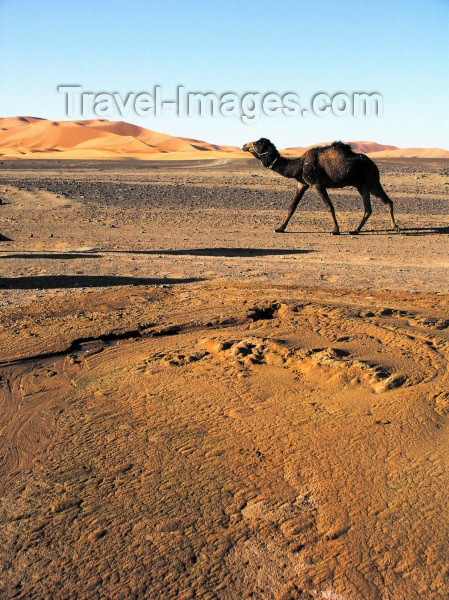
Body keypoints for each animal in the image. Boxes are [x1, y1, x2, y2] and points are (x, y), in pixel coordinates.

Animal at [242, 138, 400, 234]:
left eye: (256, 143)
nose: (244, 145)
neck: (299, 165)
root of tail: (373, 165)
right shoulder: (302, 183)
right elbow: (292, 207)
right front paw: (280, 228)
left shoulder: (318, 184)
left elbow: (329, 206)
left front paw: (335, 230)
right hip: (365, 185)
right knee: (378, 205)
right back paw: (361, 229)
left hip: (370, 181)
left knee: (377, 204)